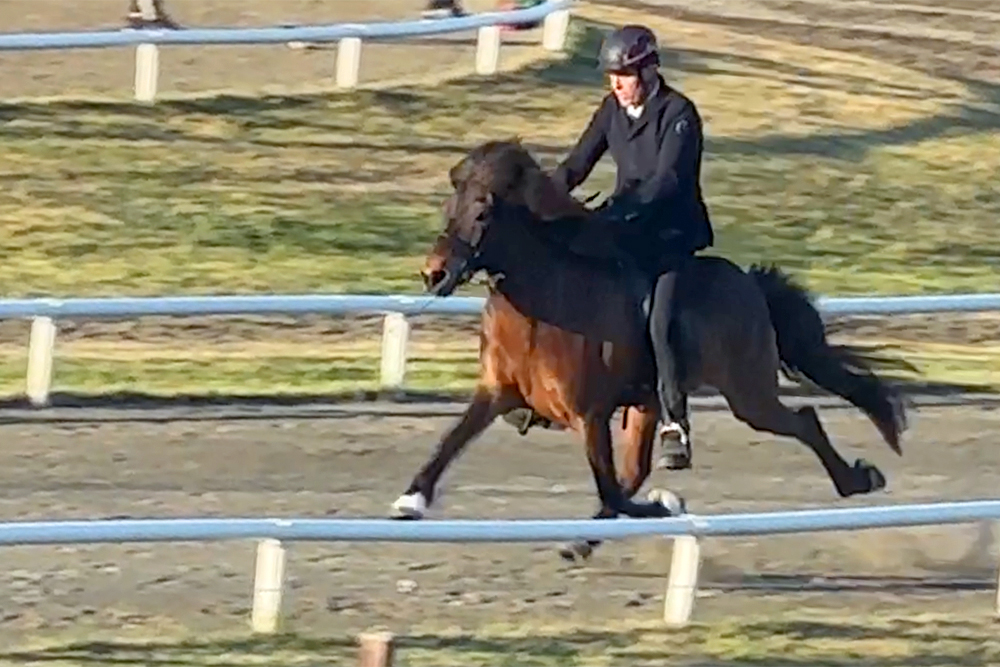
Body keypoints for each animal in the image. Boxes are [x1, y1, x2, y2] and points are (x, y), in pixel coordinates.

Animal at [388, 140, 908, 560]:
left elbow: (612, 490)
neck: (542, 303)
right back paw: (584, 540)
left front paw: (667, 506)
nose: (433, 274)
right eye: (447, 207)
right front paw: (410, 500)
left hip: (747, 394)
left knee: (802, 421)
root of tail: (749, 284)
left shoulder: (590, 414)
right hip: (649, 402)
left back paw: (858, 479)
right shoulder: (497, 393)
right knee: (637, 470)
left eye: (482, 213)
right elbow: (450, 441)